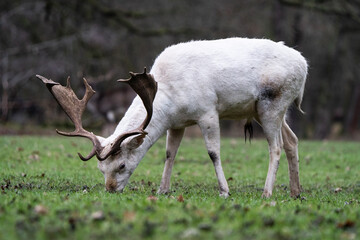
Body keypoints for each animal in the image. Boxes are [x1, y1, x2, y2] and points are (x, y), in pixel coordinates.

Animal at [38, 37, 308, 198]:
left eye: (122, 165)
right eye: (100, 168)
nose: (110, 189)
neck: (170, 98)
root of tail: (304, 65)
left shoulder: (208, 111)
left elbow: (213, 152)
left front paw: (224, 191)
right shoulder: (177, 123)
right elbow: (170, 153)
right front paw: (162, 190)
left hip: (273, 102)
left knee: (276, 147)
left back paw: (267, 193)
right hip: (265, 110)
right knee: (292, 140)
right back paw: (295, 192)